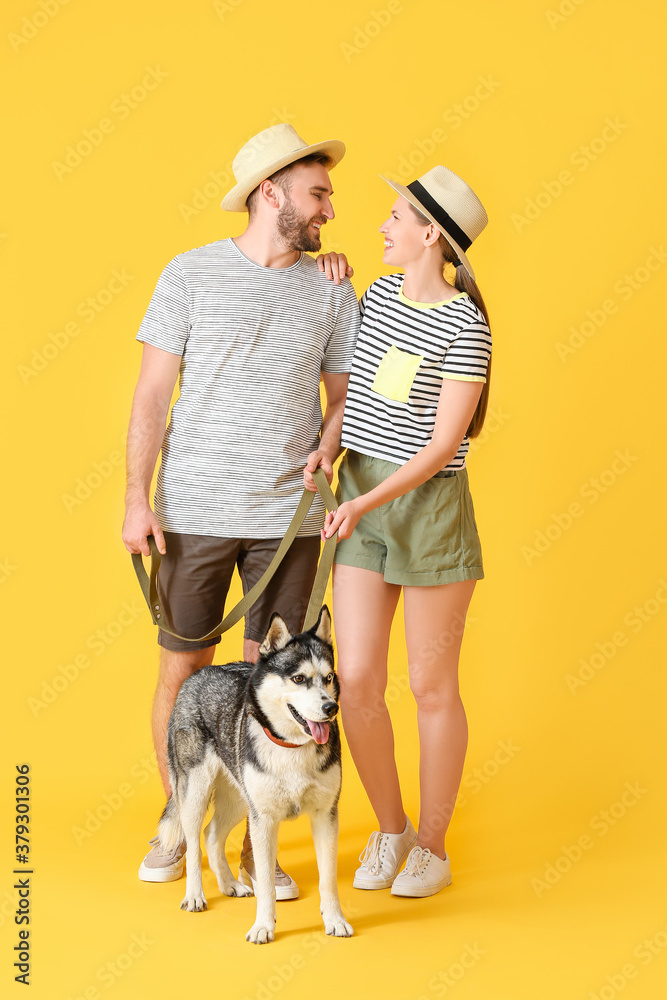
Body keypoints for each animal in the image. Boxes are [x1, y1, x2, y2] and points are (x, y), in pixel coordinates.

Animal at [157, 604, 354, 940]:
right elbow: (266, 885)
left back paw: (229, 884)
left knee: (211, 835)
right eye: (298, 678)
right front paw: (263, 926)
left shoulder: (325, 815)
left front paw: (334, 920)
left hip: (240, 799)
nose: (331, 708)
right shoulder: (263, 819)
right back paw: (195, 895)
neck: (291, 747)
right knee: (194, 842)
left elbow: (327, 879)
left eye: (328, 678)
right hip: (195, 792)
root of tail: (198, 675)